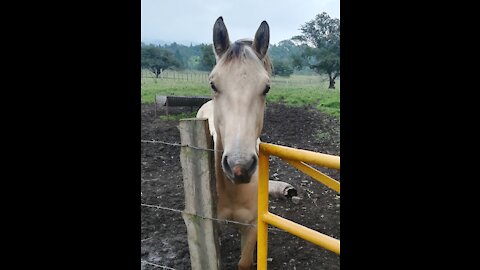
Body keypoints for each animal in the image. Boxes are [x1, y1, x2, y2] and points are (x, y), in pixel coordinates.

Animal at [196, 16, 272, 268]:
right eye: (213, 84)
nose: (240, 167)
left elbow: (244, 262)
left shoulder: (251, 227)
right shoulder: (212, 228)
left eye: (266, 88)